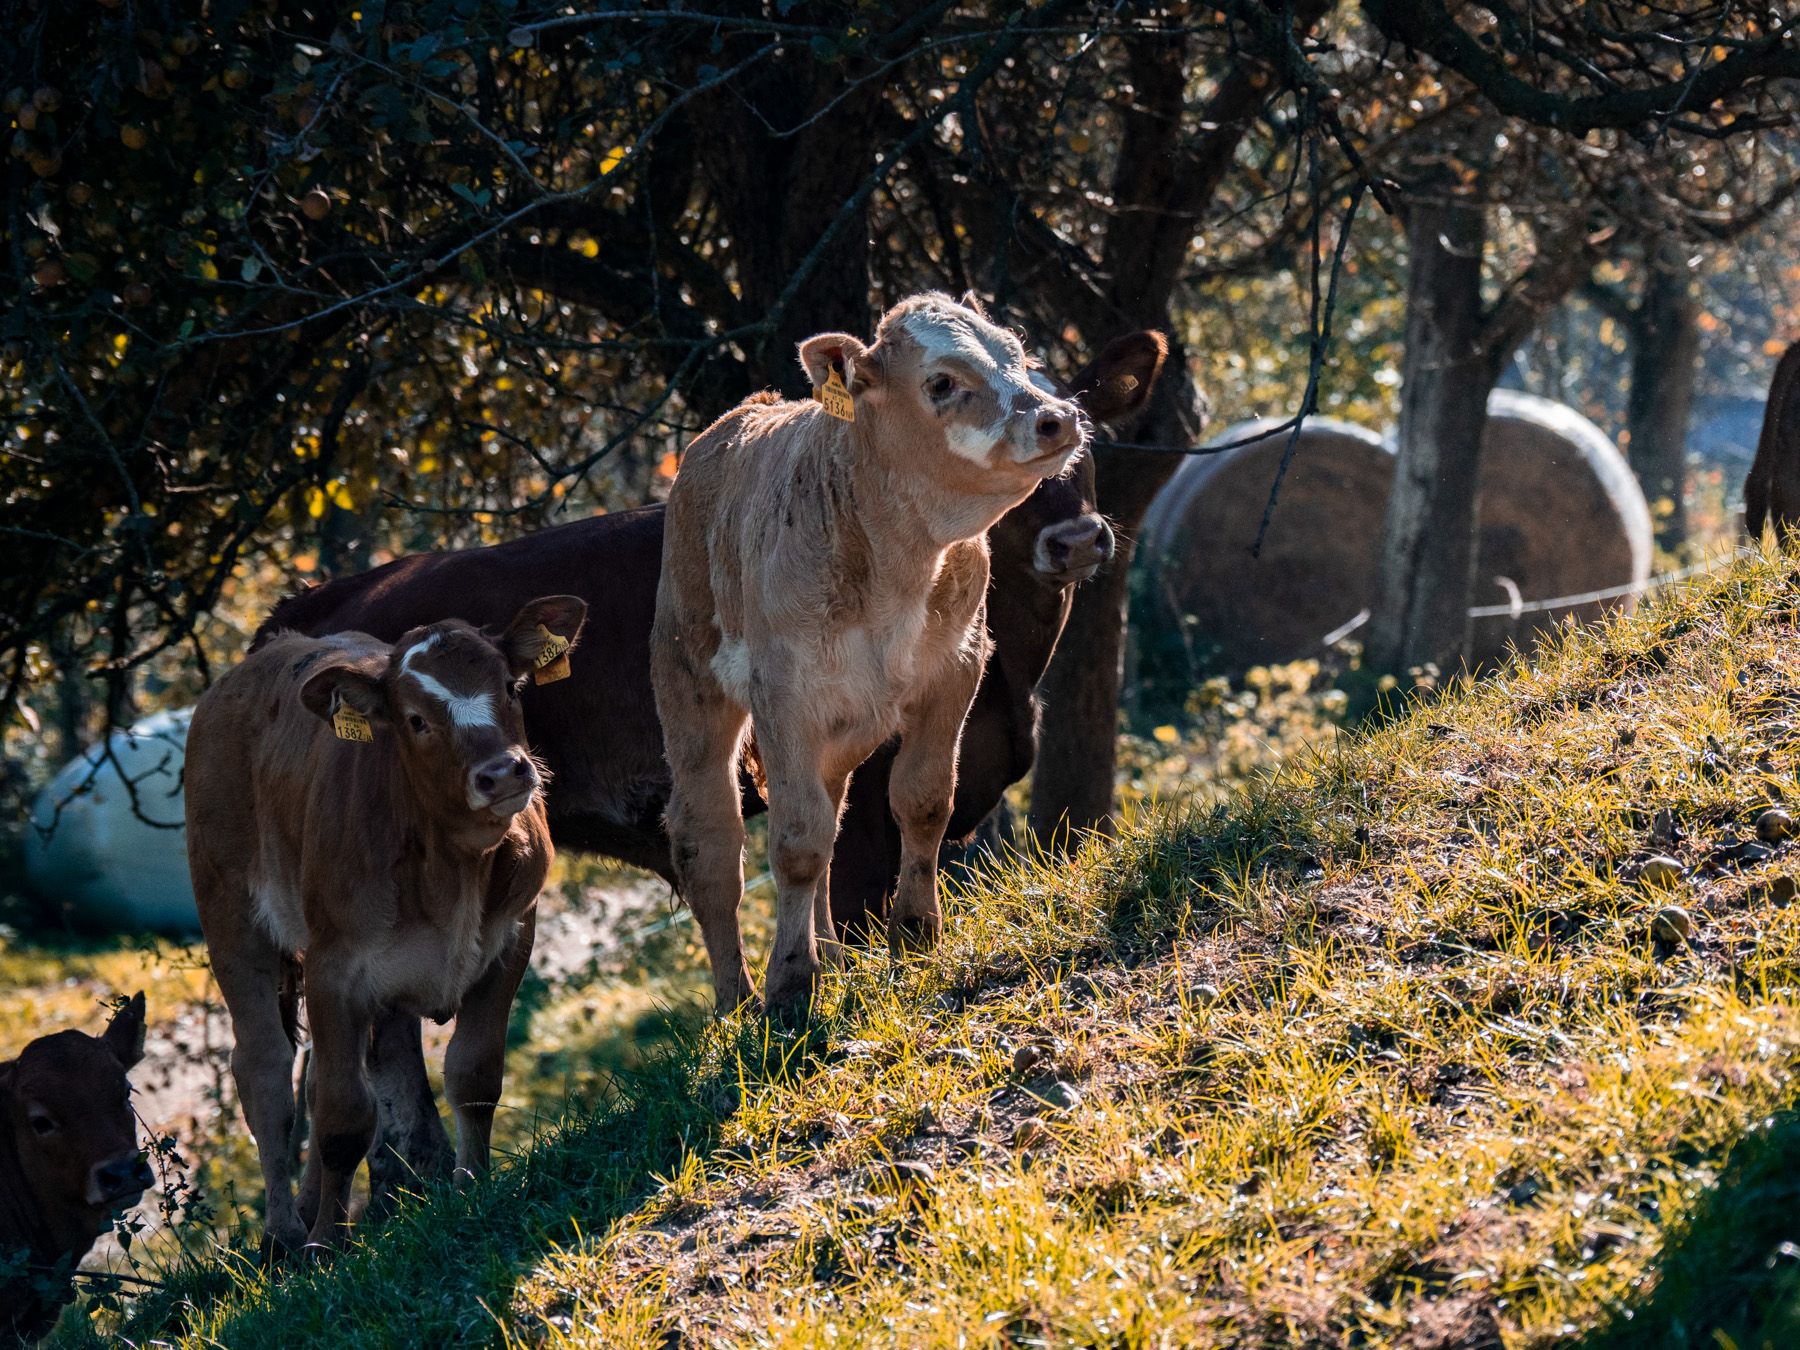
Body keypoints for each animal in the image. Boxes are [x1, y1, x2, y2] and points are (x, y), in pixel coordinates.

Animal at [184, 598, 585, 1250]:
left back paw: (319, 1207)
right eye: (416, 720)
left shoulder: (510, 941)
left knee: (321, 1078)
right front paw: (326, 1243)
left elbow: (473, 1076)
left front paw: (474, 1189)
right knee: (266, 1071)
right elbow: (344, 1116)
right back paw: (285, 1231)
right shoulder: (335, 967)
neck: (452, 866)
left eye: (508, 686)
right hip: (231, 917)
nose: (503, 773)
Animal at [654, 292, 1093, 1013]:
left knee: (831, 814)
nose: (1057, 418)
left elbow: (921, 800)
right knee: (710, 844)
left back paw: (832, 956)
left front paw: (913, 935)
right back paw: (735, 1000)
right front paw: (789, 984)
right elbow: (795, 842)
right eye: (941, 382)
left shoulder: (954, 670)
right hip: (690, 687)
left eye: (1017, 355)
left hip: (848, 720)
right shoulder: (784, 697)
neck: (893, 558)